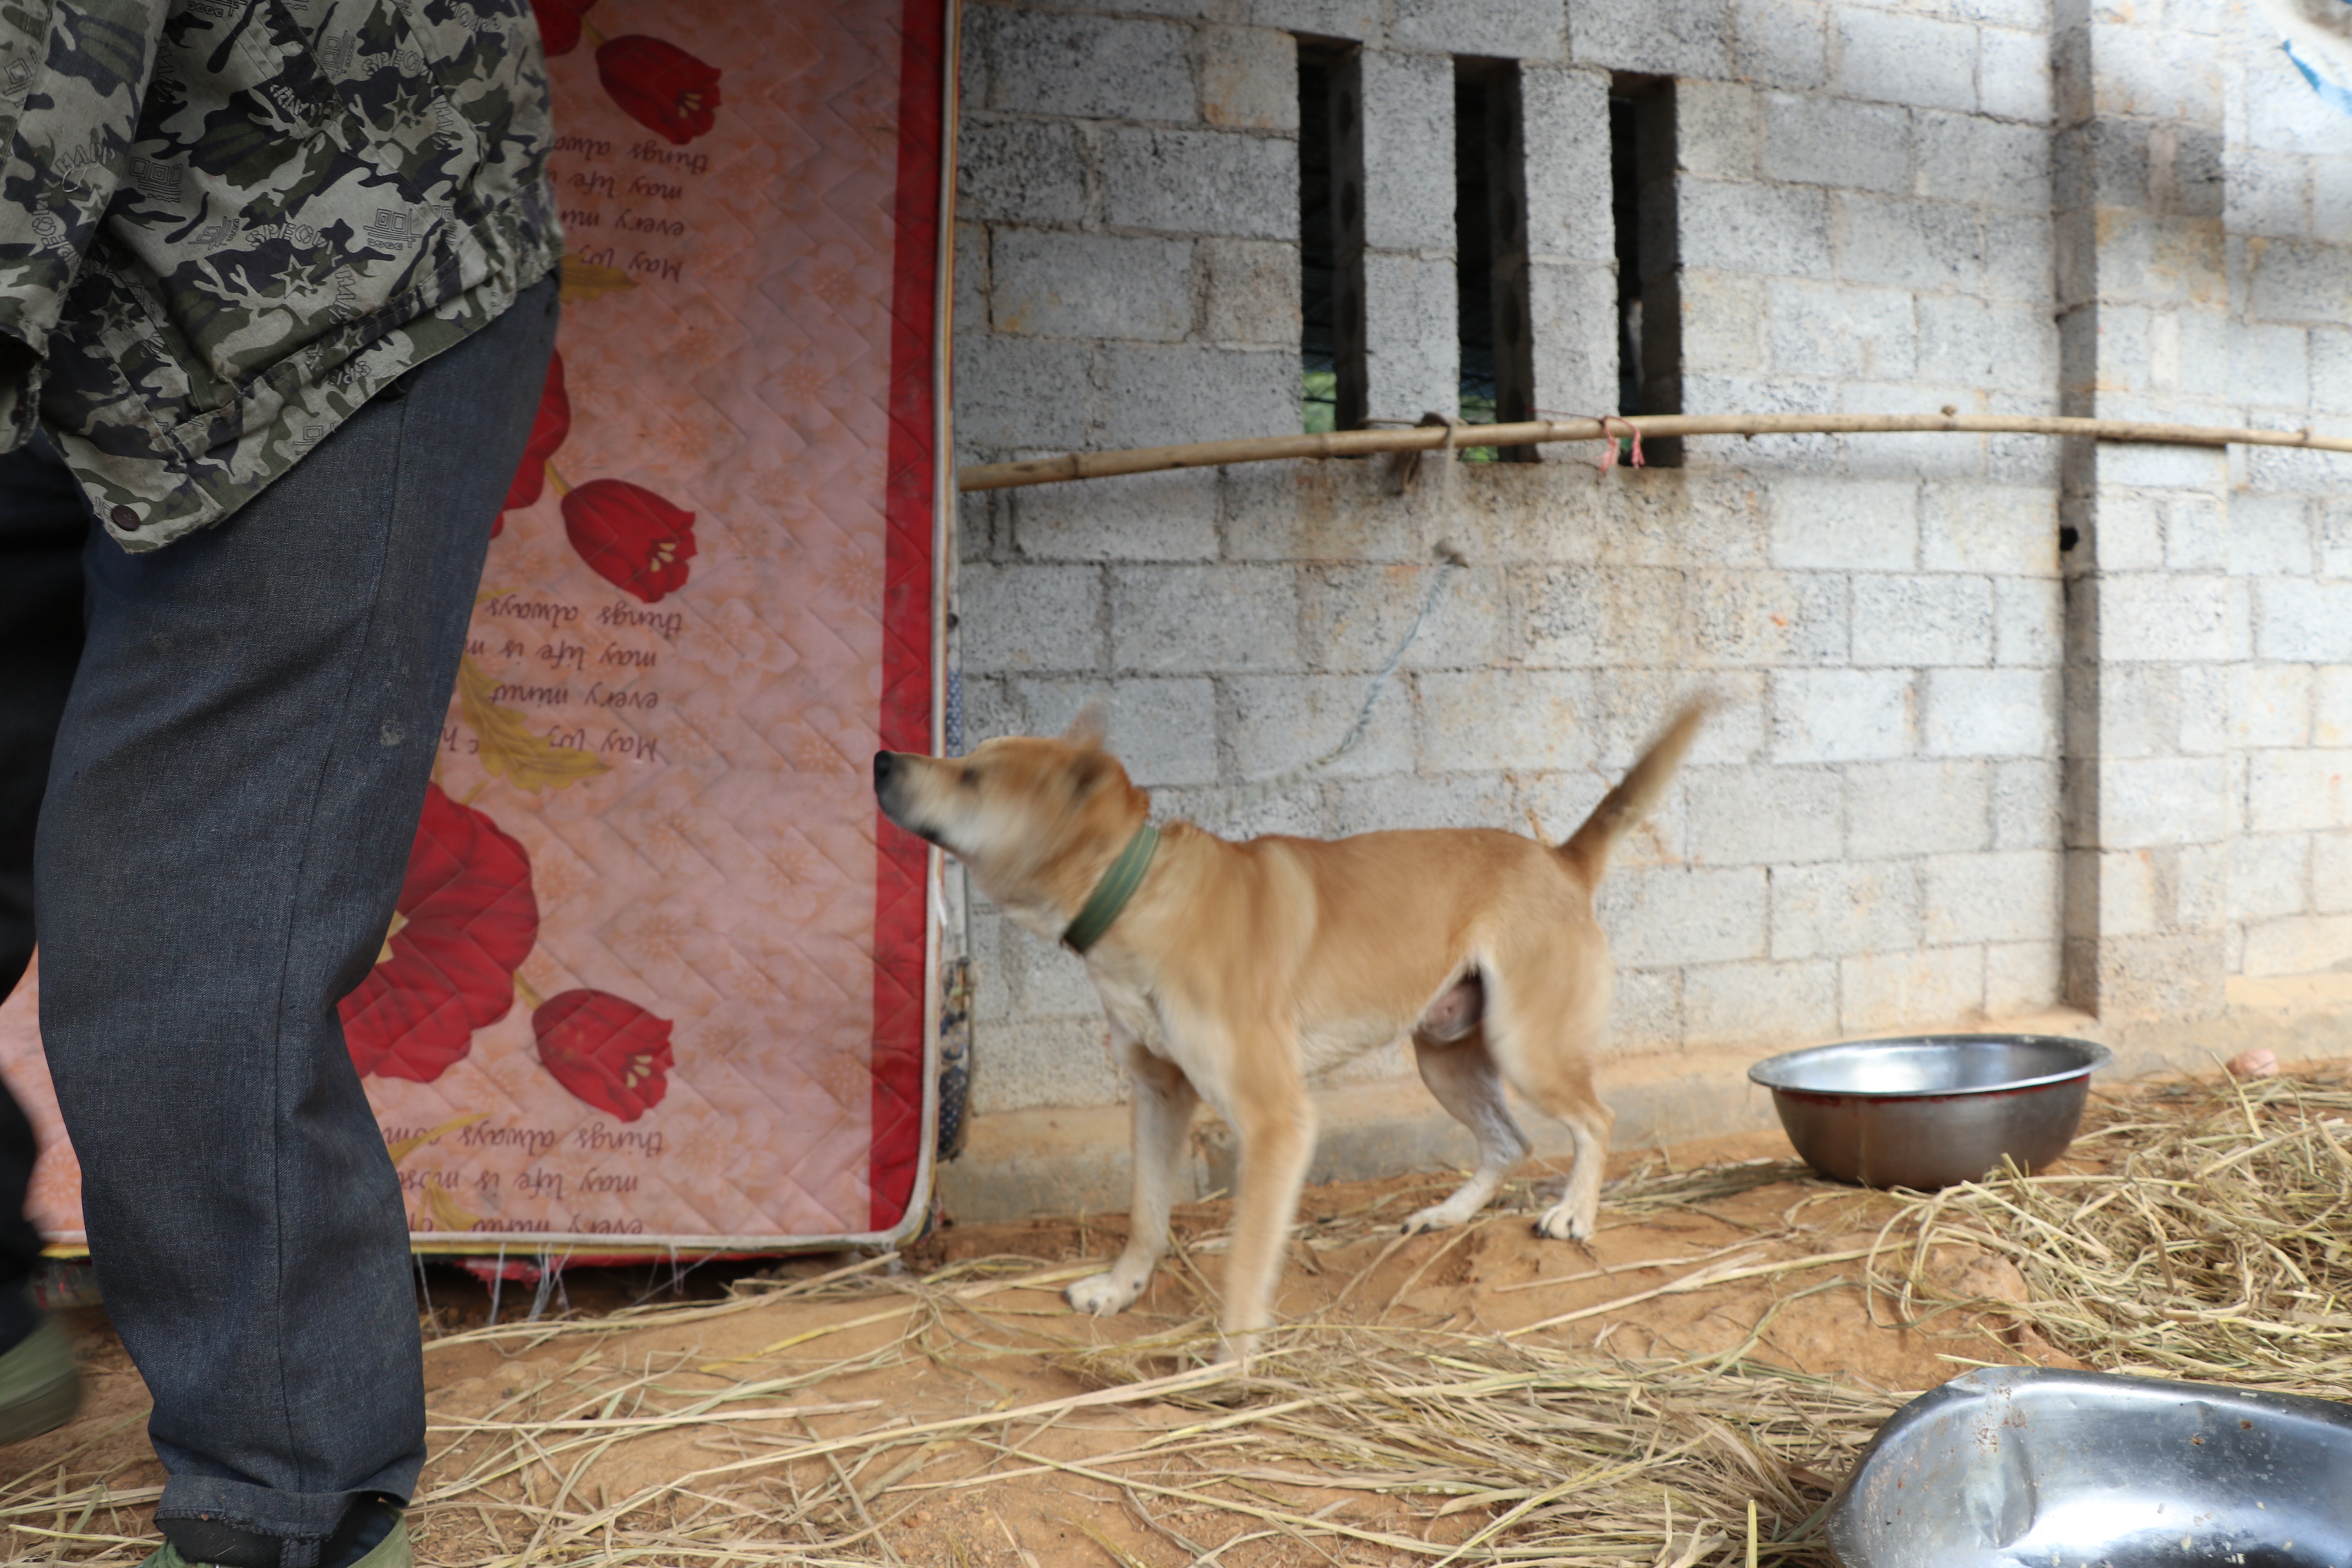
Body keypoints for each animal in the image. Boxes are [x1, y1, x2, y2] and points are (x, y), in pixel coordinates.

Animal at [880, 701, 1712, 1363]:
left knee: (1596, 1119)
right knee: (1509, 1141)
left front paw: (1233, 1359)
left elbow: (1249, 1255)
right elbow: (1147, 1216)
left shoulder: (1275, 1121)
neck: (1141, 894)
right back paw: (1448, 1215)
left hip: (1527, 1050)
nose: (884, 757)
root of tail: (1558, 859)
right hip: (1444, 1057)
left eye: (975, 778)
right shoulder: (1157, 1095)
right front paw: (1121, 1289)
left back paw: (1576, 1212)